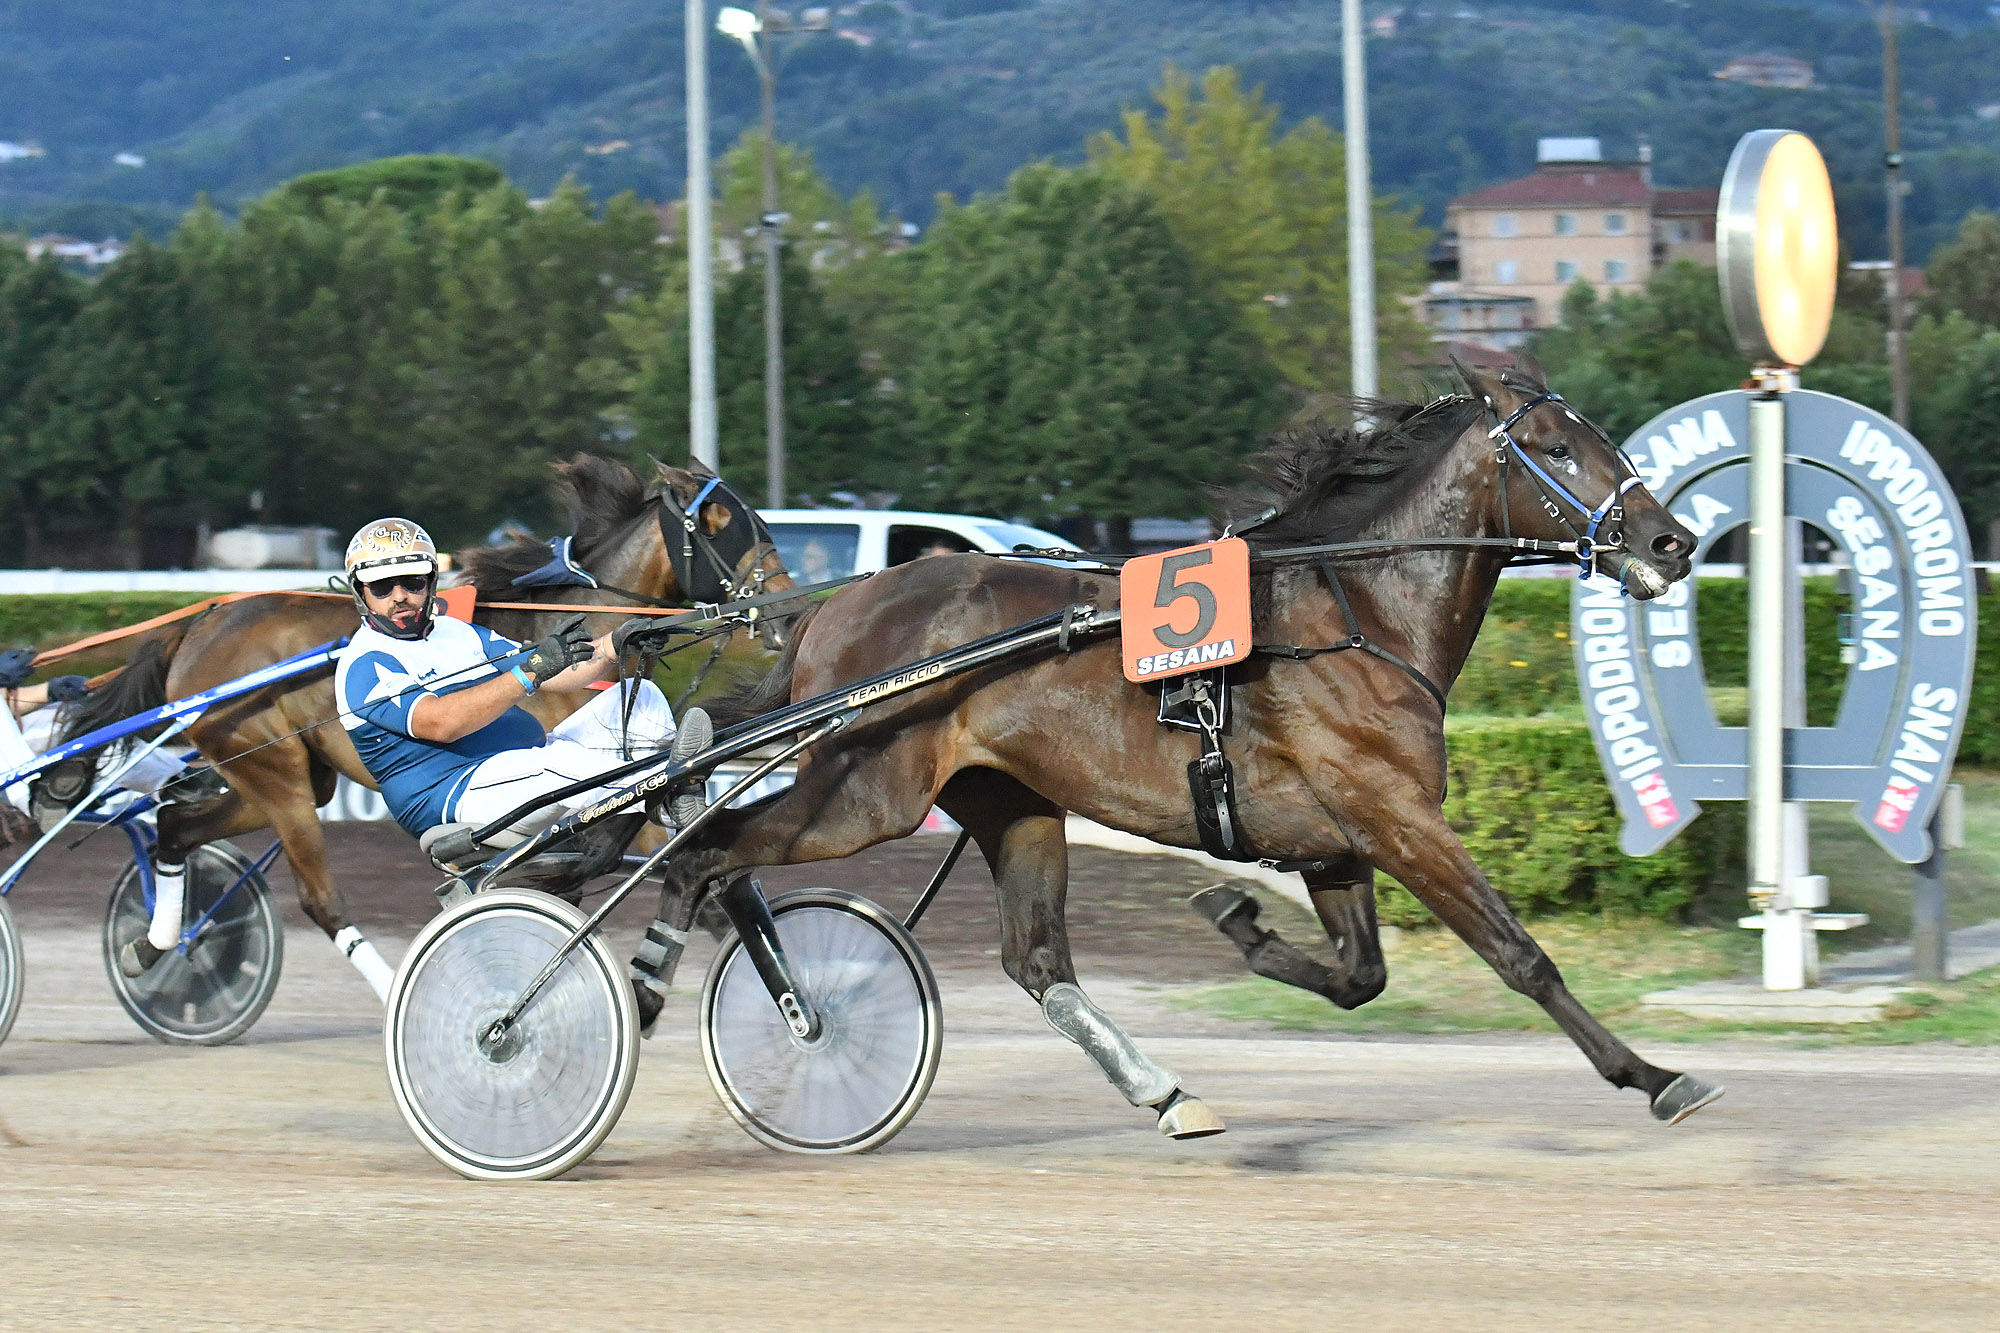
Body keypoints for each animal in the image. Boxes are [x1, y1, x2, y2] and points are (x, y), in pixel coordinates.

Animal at [54, 452, 788, 992]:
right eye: (721, 520)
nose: (781, 605)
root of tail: (198, 626)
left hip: (284, 779)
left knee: (177, 827)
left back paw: (150, 947)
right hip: (276, 773)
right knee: (320, 899)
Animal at [648, 360, 1712, 1128]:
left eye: (1597, 438)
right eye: (1552, 447)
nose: (1671, 542)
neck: (1357, 613)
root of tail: (833, 609)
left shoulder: (1335, 836)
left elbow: (1360, 975)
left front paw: (1239, 920)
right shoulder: (1395, 813)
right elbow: (1520, 955)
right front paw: (1654, 1075)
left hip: (1012, 801)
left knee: (1037, 960)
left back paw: (1167, 1093)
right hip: (864, 790)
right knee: (704, 855)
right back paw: (657, 982)